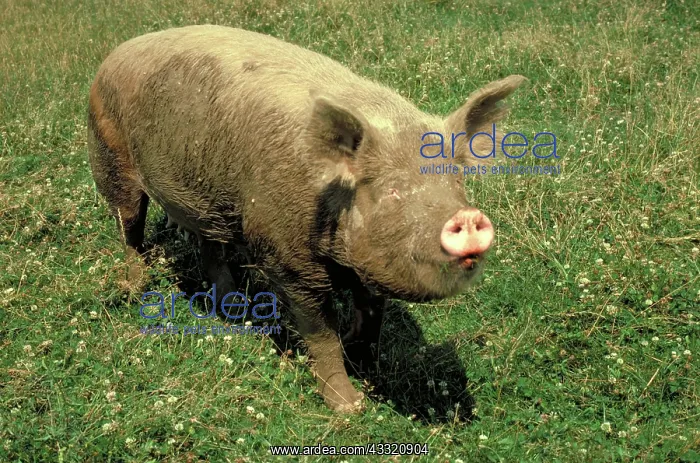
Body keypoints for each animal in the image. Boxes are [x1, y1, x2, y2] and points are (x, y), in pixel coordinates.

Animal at [87, 25, 526, 412]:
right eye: (392, 191)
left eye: (456, 183)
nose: (466, 217)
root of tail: (115, 53)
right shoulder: (288, 259)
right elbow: (321, 334)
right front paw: (350, 408)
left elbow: (372, 315)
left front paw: (364, 366)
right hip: (109, 154)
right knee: (130, 228)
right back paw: (135, 287)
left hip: (209, 194)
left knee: (209, 243)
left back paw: (234, 309)